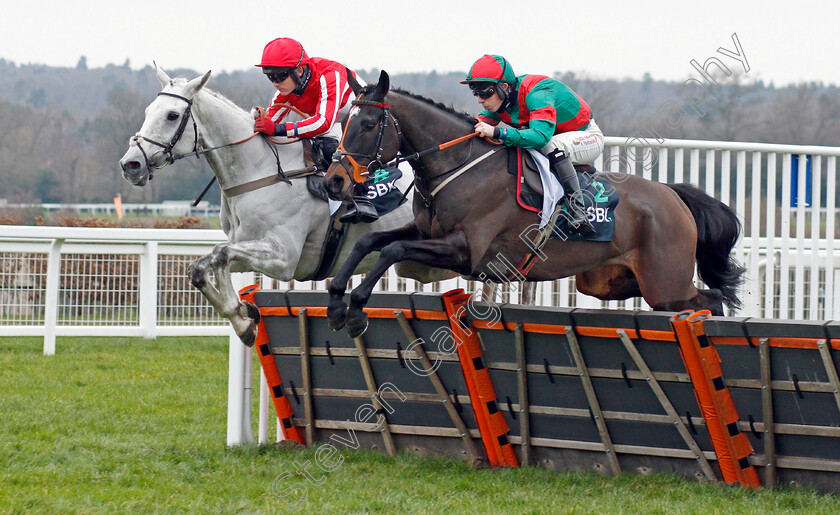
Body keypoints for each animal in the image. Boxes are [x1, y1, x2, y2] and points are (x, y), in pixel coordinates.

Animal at [118, 65, 452, 346]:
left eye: (172, 115)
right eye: (148, 111)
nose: (130, 165)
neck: (258, 169)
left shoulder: (284, 258)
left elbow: (220, 254)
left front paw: (243, 318)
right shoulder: (249, 246)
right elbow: (204, 264)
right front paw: (244, 315)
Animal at [324, 72, 744, 338]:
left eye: (368, 124)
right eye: (344, 120)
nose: (334, 180)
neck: (457, 165)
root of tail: (673, 196)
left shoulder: (465, 250)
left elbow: (392, 250)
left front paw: (356, 310)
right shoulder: (426, 232)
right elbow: (370, 242)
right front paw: (336, 303)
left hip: (663, 282)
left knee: (705, 298)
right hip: (614, 282)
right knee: (707, 297)